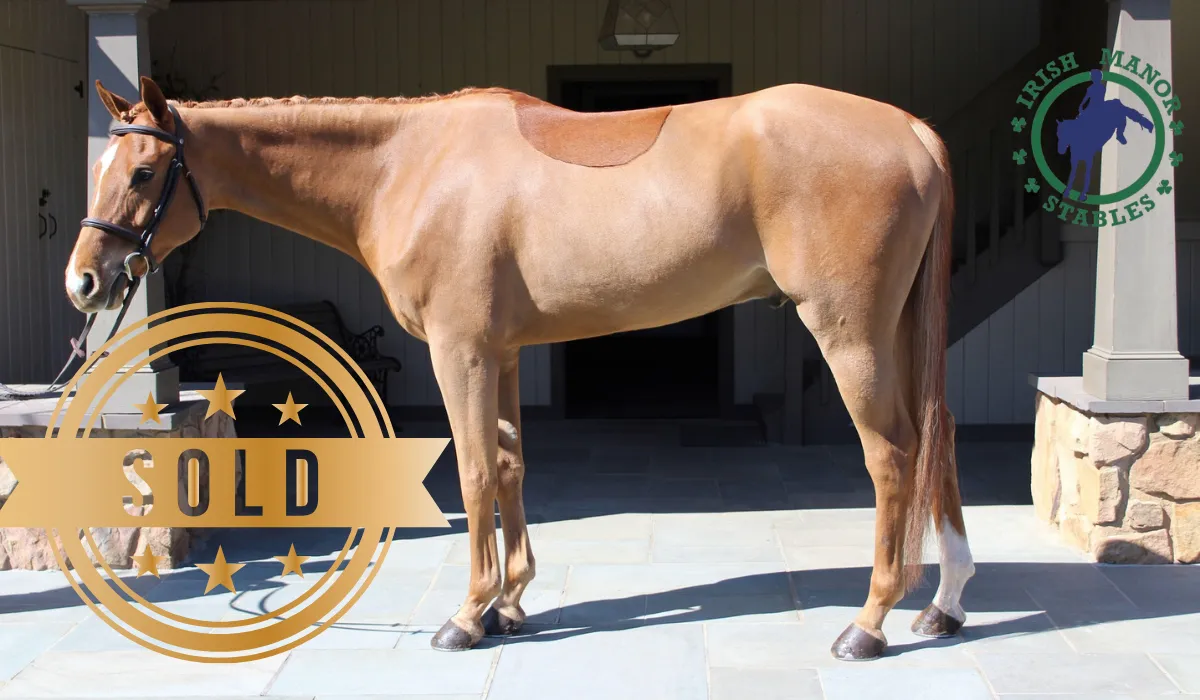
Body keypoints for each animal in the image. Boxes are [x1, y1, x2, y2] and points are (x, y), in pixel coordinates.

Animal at [67, 76, 971, 662]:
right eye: (99, 169)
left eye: (143, 172)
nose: (84, 281)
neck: (407, 167)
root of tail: (912, 131)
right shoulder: (499, 354)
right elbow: (508, 467)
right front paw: (510, 604)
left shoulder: (459, 350)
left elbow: (470, 474)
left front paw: (468, 616)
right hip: (899, 330)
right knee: (941, 440)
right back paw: (945, 605)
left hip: (850, 333)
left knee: (893, 456)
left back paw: (871, 621)